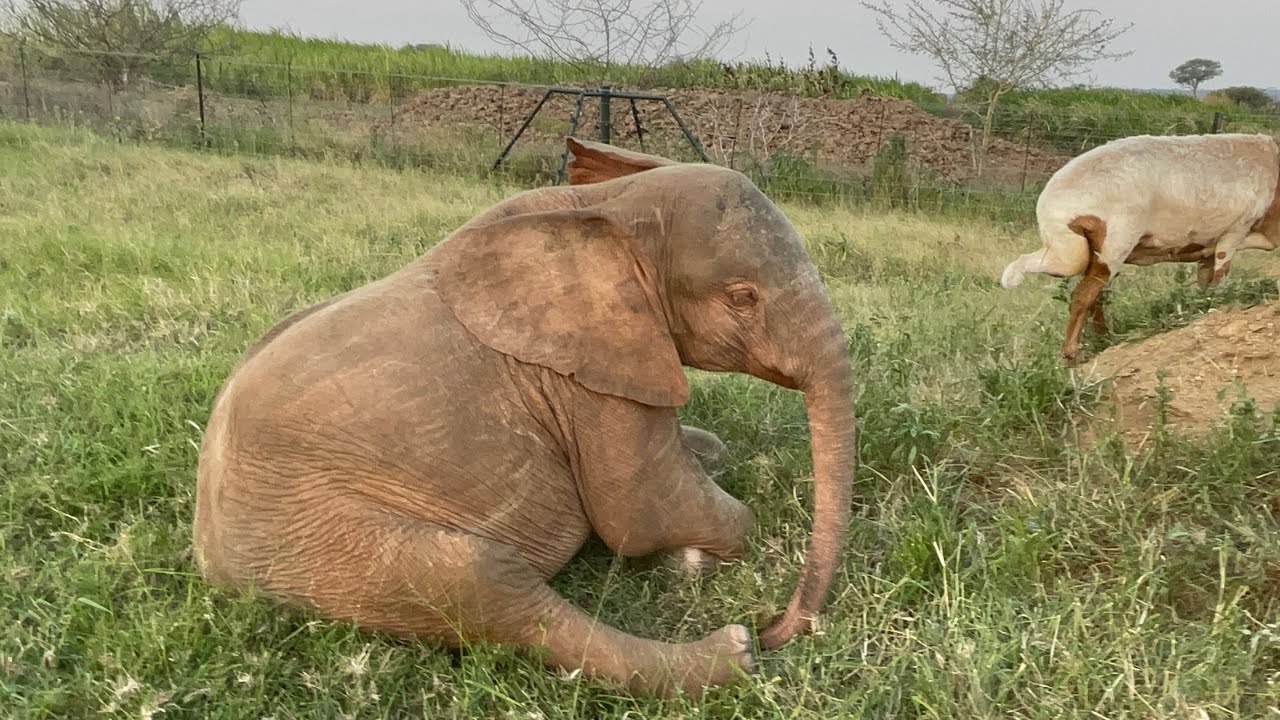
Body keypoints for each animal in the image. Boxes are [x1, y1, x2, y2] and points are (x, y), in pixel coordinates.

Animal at [192, 136, 858, 697]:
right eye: (743, 298)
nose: (776, 626)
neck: (610, 211)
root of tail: (211, 558)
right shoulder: (580, 374)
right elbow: (642, 510)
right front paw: (695, 562)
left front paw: (706, 475)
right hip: (322, 541)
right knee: (490, 589)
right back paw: (730, 657)